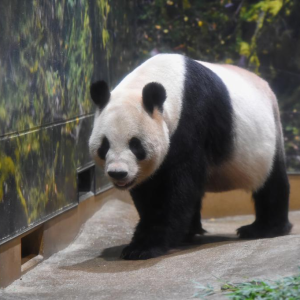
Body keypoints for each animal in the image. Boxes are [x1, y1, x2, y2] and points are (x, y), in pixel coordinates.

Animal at [88, 54, 290, 260]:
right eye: (104, 146)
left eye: (135, 145)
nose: (118, 173)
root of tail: (266, 86)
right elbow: (150, 189)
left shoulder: (192, 119)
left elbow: (178, 186)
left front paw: (143, 247)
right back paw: (189, 232)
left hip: (267, 140)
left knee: (272, 182)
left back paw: (263, 228)